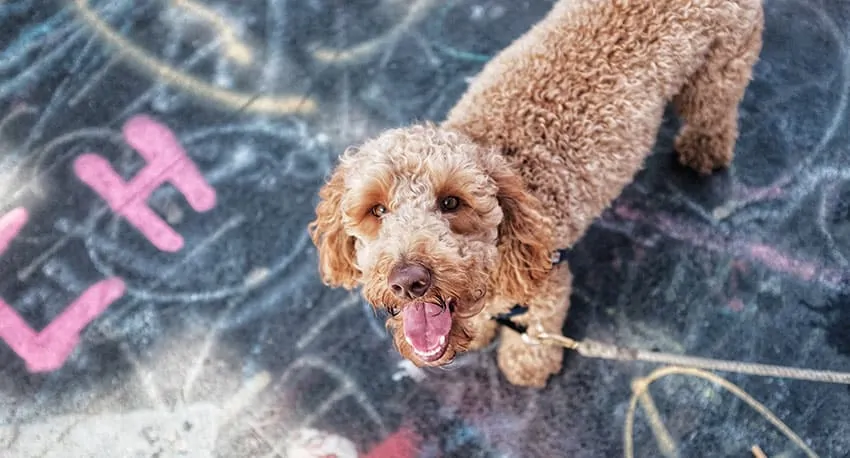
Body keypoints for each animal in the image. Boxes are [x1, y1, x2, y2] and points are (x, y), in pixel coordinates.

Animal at [308, 0, 764, 386]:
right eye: (376, 209)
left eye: (451, 202)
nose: (409, 281)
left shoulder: (548, 275)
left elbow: (539, 326)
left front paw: (527, 364)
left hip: (720, 65)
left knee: (715, 109)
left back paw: (704, 149)